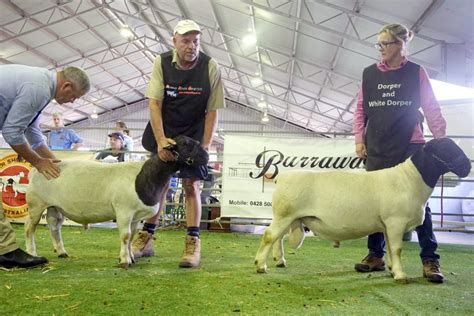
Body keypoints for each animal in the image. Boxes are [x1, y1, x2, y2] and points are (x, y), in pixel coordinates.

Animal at [25, 135, 208, 268]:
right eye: (185, 143)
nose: (206, 156)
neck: (145, 176)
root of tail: (36, 169)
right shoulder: (124, 212)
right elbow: (126, 237)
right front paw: (124, 261)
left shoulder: (136, 216)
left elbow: (132, 236)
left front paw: (131, 257)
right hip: (36, 205)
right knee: (29, 229)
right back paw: (32, 254)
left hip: (54, 206)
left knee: (54, 228)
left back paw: (61, 252)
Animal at [256, 138, 470, 282]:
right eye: (445, 148)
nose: (468, 167)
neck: (409, 180)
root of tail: (282, 177)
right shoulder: (396, 221)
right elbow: (397, 249)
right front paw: (400, 275)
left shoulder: (387, 225)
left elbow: (390, 249)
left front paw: (392, 269)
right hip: (285, 214)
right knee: (269, 236)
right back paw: (261, 265)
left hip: (289, 217)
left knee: (277, 238)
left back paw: (279, 261)